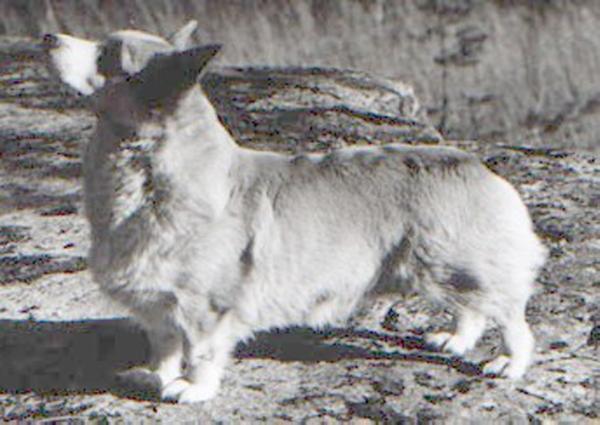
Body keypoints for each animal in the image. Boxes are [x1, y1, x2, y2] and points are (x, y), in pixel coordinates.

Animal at [44, 20, 548, 404]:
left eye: (109, 57)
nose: (48, 37)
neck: (147, 168)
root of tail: (479, 169)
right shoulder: (161, 305)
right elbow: (165, 346)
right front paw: (154, 375)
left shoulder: (206, 306)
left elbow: (202, 352)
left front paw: (191, 389)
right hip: (444, 269)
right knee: (473, 309)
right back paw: (455, 340)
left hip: (457, 265)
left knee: (510, 317)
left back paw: (508, 363)